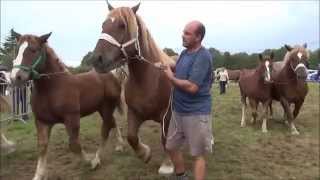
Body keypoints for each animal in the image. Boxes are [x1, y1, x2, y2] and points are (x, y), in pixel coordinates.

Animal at [9, 30, 125, 180]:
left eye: (33, 50)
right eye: (17, 50)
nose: (15, 78)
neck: (52, 88)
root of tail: (112, 75)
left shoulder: (72, 119)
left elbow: (74, 145)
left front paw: (90, 160)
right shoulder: (42, 121)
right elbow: (42, 146)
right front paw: (39, 175)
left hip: (106, 108)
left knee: (106, 128)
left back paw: (97, 158)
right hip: (102, 108)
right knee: (113, 122)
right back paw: (119, 145)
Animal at [90, 2, 176, 174]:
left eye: (122, 25)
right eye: (103, 25)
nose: (97, 59)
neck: (149, 79)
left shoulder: (166, 115)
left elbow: (165, 139)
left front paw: (167, 164)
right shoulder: (134, 112)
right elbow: (131, 137)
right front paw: (145, 153)